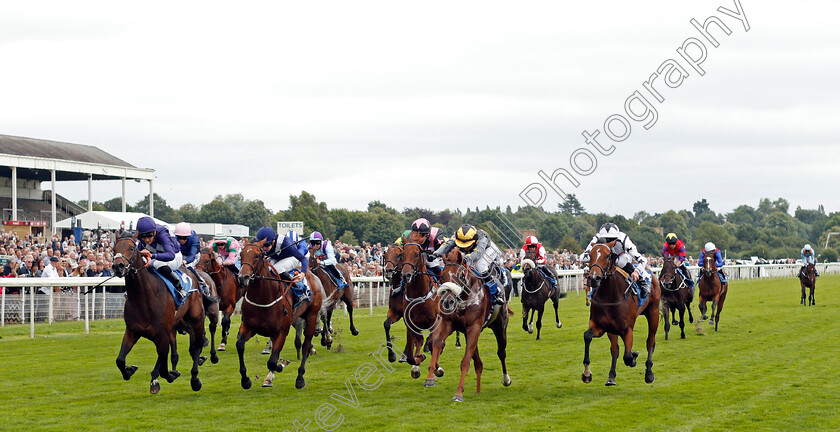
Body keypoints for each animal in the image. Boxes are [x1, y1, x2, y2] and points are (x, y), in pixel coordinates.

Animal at [111, 235, 207, 394]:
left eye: (131, 248)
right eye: (114, 249)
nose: (118, 266)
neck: (143, 298)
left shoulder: (162, 334)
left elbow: (164, 369)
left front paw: (172, 374)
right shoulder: (132, 331)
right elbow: (120, 360)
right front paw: (130, 369)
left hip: (196, 318)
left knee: (198, 343)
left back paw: (195, 379)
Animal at [235, 243, 324, 392]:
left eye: (257, 256)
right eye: (241, 255)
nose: (243, 277)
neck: (263, 298)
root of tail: (310, 274)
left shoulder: (281, 332)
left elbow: (272, 362)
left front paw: (281, 364)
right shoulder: (248, 327)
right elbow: (240, 345)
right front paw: (246, 380)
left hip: (311, 316)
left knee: (306, 346)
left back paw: (300, 379)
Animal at [424, 248, 508, 404]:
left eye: (461, 276)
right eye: (442, 275)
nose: (447, 301)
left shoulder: (474, 327)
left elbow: (465, 361)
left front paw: (458, 393)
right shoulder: (448, 323)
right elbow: (437, 343)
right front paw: (430, 377)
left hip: (500, 327)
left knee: (501, 352)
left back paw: (506, 379)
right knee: (478, 363)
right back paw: (478, 390)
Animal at [580, 243, 660, 388]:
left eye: (607, 255)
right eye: (590, 255)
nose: (594, 278)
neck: (609, 295)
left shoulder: (627, 329)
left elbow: (627, 357)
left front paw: (634, 357)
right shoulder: (601, 326)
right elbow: (587, 336)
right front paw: (587, 374)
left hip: (653, 313)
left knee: (650, 342)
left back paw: (649, 374)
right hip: (612, 329)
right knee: (615, 349)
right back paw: (611, 377)